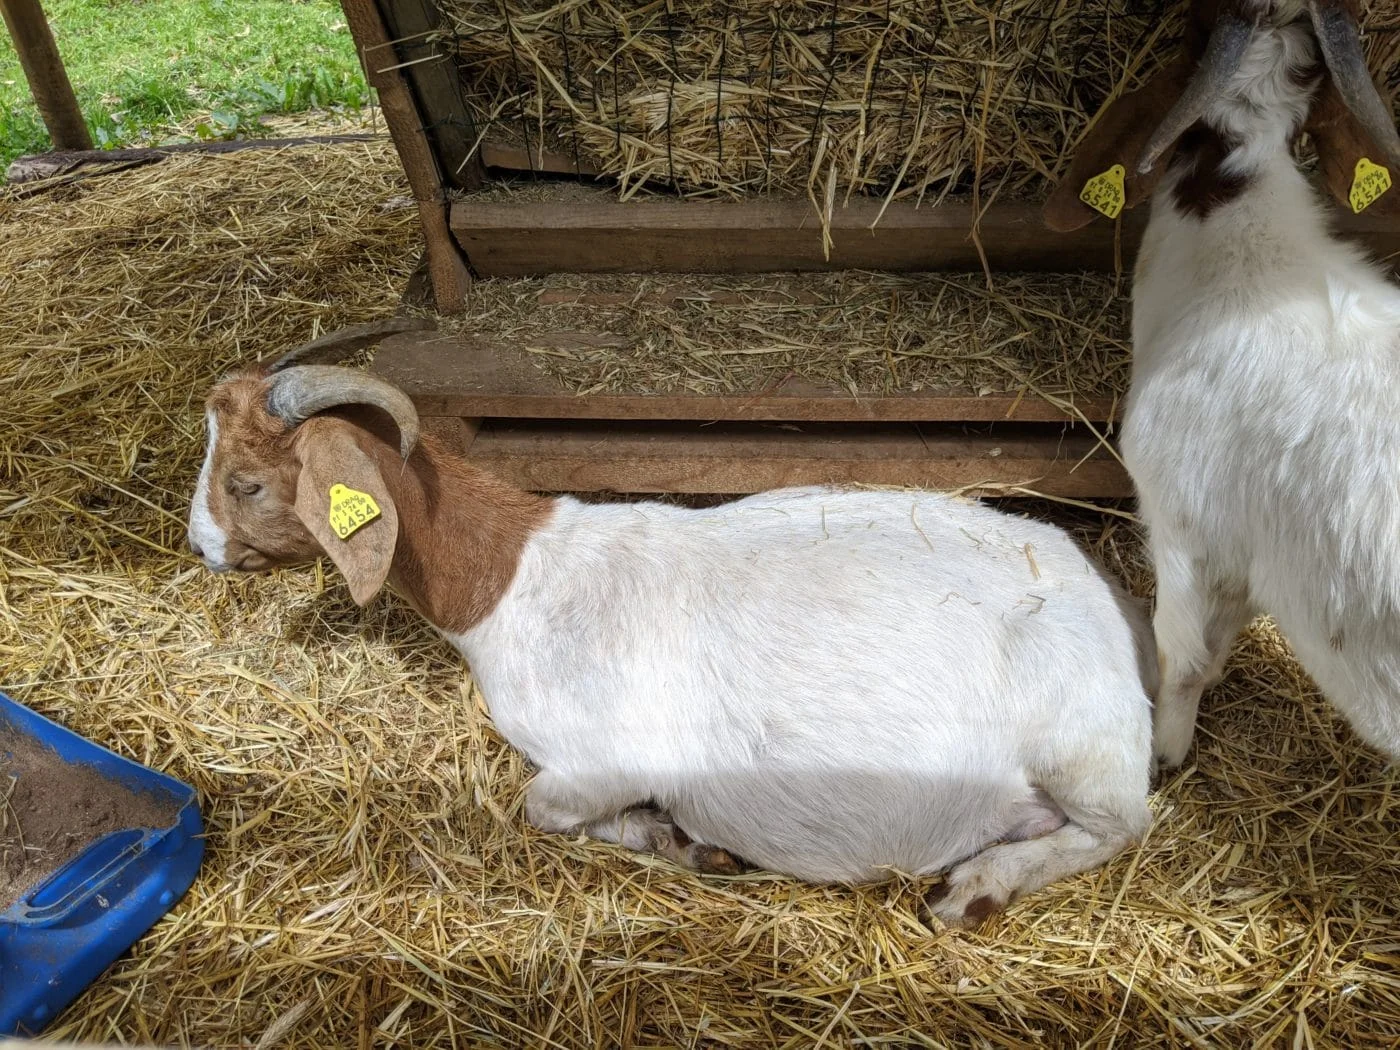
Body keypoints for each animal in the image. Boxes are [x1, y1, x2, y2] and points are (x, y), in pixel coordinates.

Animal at [186, 324, 1153, 924]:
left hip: (1082, 746)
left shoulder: (605, 759)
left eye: (246, 483)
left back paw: (975, 887)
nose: (199, 547)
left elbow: (541, 806)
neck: (513, 578)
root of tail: (1112, 604)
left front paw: (678, 840)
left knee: (1121, 828)